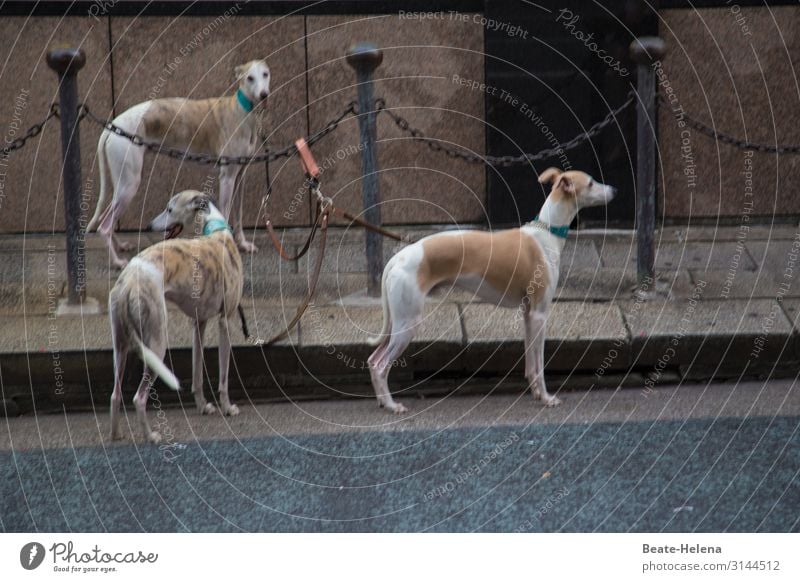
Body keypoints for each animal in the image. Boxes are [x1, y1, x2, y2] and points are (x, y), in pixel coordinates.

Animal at [86, 59, 270, 270]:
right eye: (249, 78)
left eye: (265, 74)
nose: (264, 94)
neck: (241, 111)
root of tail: (112, 126)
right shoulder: (227, 177)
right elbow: (225, 211)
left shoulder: (239, 176)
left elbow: (238, 215)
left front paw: (244, 244)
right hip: (129, 183)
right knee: (104, 224)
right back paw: (117, 261)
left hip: (123, 182)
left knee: (106, 216)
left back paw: (121, 246)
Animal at [108, 189, 244, 444]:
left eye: (170, 209)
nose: (149, 226)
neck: (214, 231)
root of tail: (129, 281)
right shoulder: (226, 321)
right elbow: (223, 376)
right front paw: (227, 407)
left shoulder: (198, 323)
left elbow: (197, 372)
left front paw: (203, 406)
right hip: (156, 342)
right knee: (138, 398)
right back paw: (151, 436)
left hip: (120, 345)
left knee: (115, 393)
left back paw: (116, 434)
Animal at [366, 169, 616, 416]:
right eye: (591, 183)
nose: (614, 190)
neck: (545, 233)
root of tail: (396, 259)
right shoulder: (539, 314)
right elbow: (539, 364)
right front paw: (546, 398)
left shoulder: (528, 314)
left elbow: (530, 362)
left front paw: (536, 393)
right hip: (408, 322)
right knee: (380, 365)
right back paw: (392, 405)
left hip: (398, 320)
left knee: (372, 359)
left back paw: (381, 401)